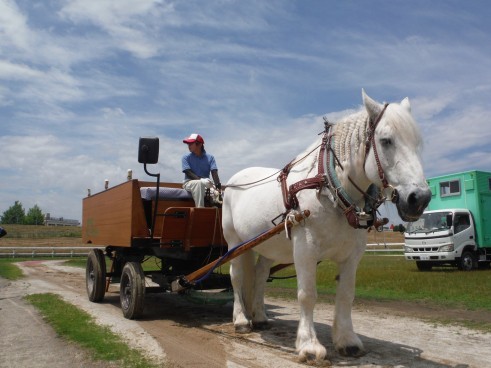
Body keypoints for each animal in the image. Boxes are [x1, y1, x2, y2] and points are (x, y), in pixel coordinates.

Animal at [222, 90, 430, 360]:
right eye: (386, 141)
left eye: (417, 143)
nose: (420, 198)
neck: (332, 190)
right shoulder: (306, 250)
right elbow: (307, 295)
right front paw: (309, 345)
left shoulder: (352, 255)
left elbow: (346, 295)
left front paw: (347, 340)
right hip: (235, 243)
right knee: (237, 277)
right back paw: (241, 320)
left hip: (267, 245)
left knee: (259, 275)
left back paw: (258, 316)